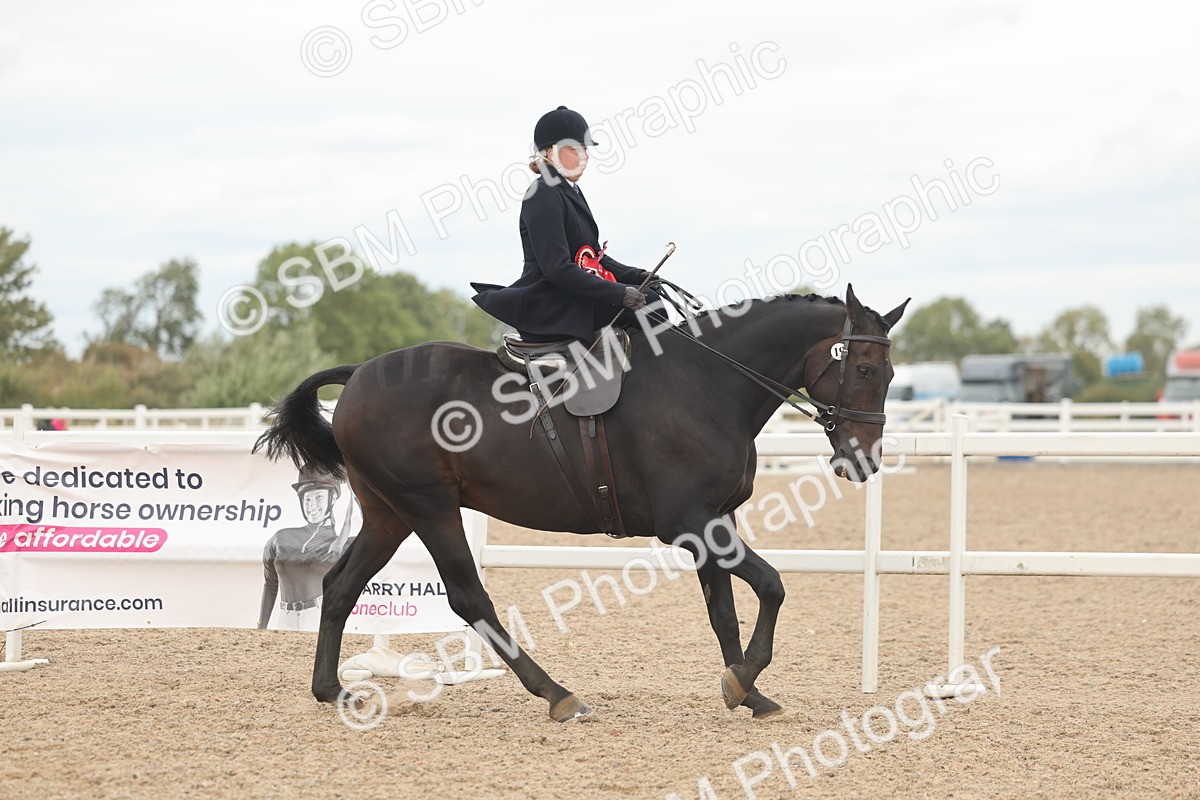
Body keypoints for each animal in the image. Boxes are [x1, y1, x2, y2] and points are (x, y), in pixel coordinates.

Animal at [254, 284, 908, 721]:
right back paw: (558, 695)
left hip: (390, 512)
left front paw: (746, 690)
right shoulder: (689, 524)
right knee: (468, 596)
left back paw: (331, 689)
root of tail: (361, 373)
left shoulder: (714, 522)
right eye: (865, 368)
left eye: (892, 372)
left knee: (340, 585)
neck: (708, 385)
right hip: (429, 507)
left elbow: (724, 610)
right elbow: (772, 584)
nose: (863, 460)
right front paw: (743, 679)